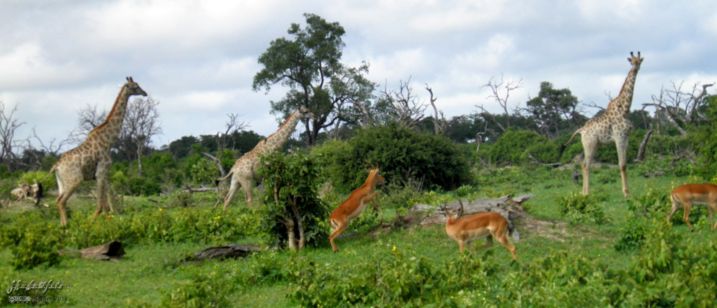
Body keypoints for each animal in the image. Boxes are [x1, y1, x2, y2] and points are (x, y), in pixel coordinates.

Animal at [50, 77, 147, 225]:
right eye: (135, 86)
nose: (145, 93)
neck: (109, 141)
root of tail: (56, 166)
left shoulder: (104, 173)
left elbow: (108, 202)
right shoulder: (101, 171)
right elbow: (101, 205)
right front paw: (92, 222)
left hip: (61, 183)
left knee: (58, 201)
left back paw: (62, 226)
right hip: (75, 179)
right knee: (61, 201)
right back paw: (66, 226)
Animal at [568, 51, 640, 197]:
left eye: (640, 61)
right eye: (632, 61)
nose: (636, 68)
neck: (625, 109)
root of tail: (581, 130)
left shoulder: (626, 137)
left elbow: (625, 164)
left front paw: (628, 192)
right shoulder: (619, 137)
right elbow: (621, 164)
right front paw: (626, 193)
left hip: (595, 144)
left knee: (584, 164)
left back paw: (583, 192)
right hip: (590, 144)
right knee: (586, 164)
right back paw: (586, 193)